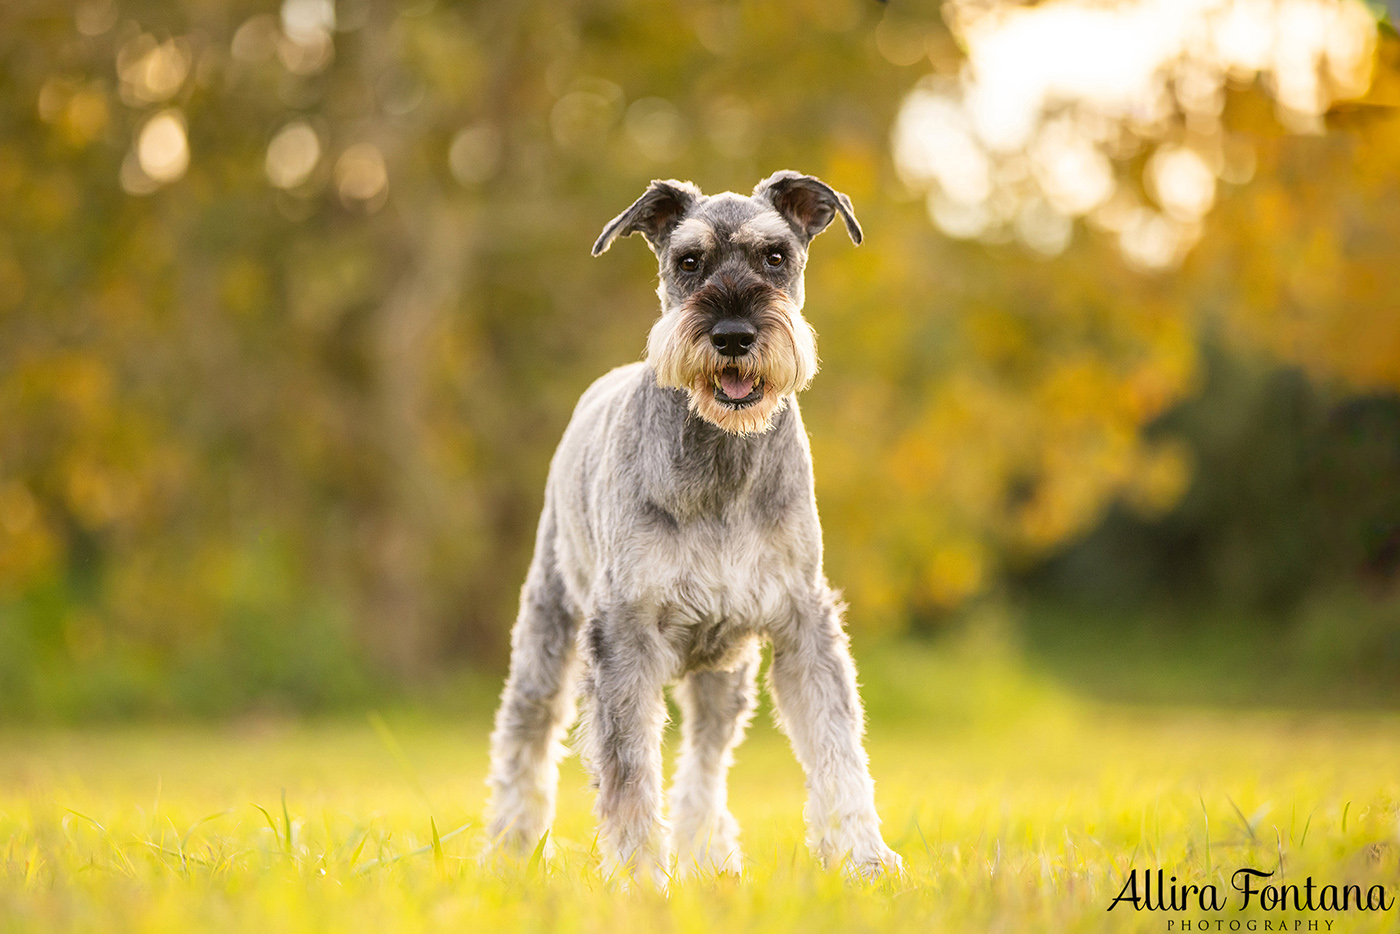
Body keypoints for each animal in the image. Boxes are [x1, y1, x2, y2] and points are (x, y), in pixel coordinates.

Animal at [481, 171, 901, 890]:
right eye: (687, 261)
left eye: (776, 256)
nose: (732, 335)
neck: (724, 461)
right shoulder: (624, 636)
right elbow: (628, 771)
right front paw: (638, 877)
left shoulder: (803, 622)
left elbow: (837, 748)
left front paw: (864, 860)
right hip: (548, 629)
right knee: (525, 736)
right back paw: (508, 851)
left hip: (725, 672)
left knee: (706, 760)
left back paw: (707, 853)